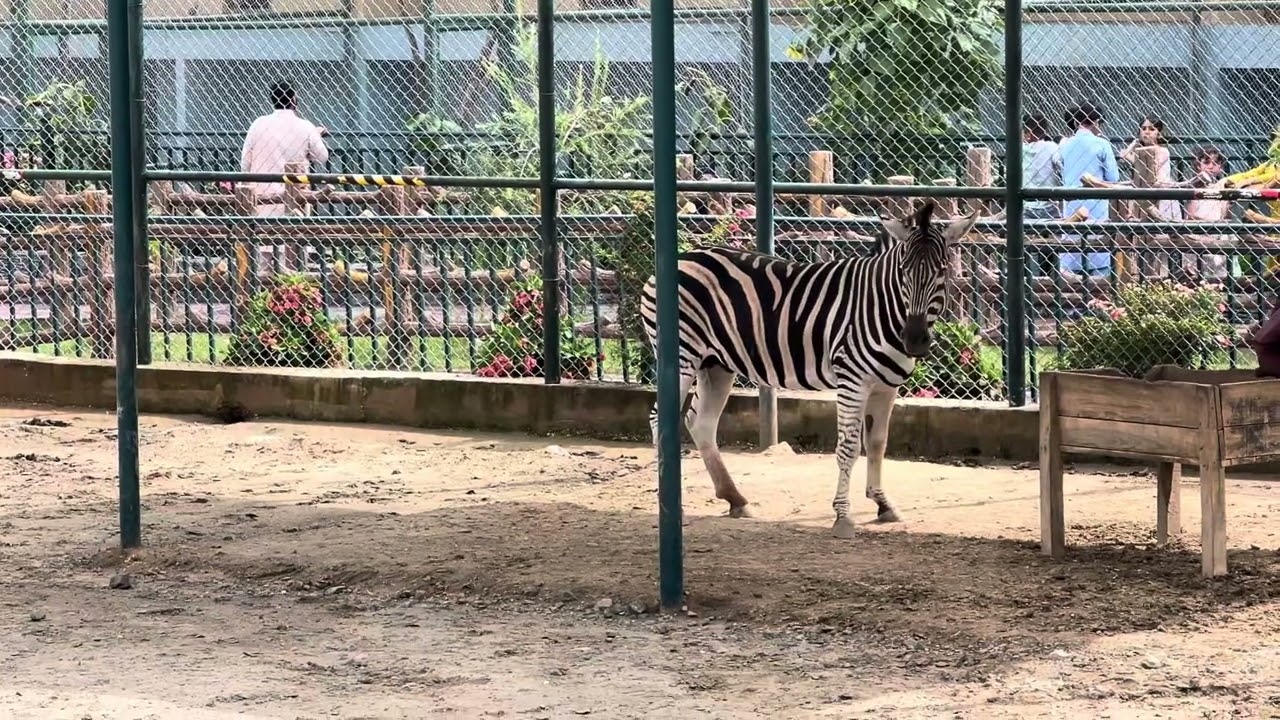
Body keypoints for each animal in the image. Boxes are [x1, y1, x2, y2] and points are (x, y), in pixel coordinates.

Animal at [638, 199, 979, 539]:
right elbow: (849, 447)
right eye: (902, 271)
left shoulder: (885, 386)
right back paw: (672, 505)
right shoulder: (852, 380)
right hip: (682, 356)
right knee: (659, 418)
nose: (915, 340)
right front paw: (843, 516)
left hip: (716, 364)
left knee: (701, 423)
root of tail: (682, 257)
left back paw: (735, 499)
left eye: (943, 270)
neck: (883, 306)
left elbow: (878, 443)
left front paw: (883, 504)